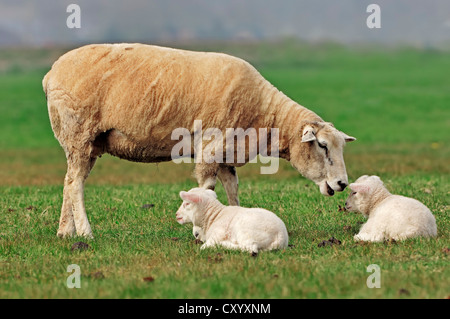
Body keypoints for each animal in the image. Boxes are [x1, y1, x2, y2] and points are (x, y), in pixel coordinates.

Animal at [44, 42, 356, 239]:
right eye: (322, 145)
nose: (342, 183)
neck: (264, 115)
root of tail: (50, 75)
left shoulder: (227, 153)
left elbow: (232, 189)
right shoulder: (209, 148)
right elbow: (206, 189)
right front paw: (199, 228)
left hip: (87, 141)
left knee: (70, 181)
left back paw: (65, 232)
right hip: (79, 131)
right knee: (75, 183)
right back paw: (86, 232)